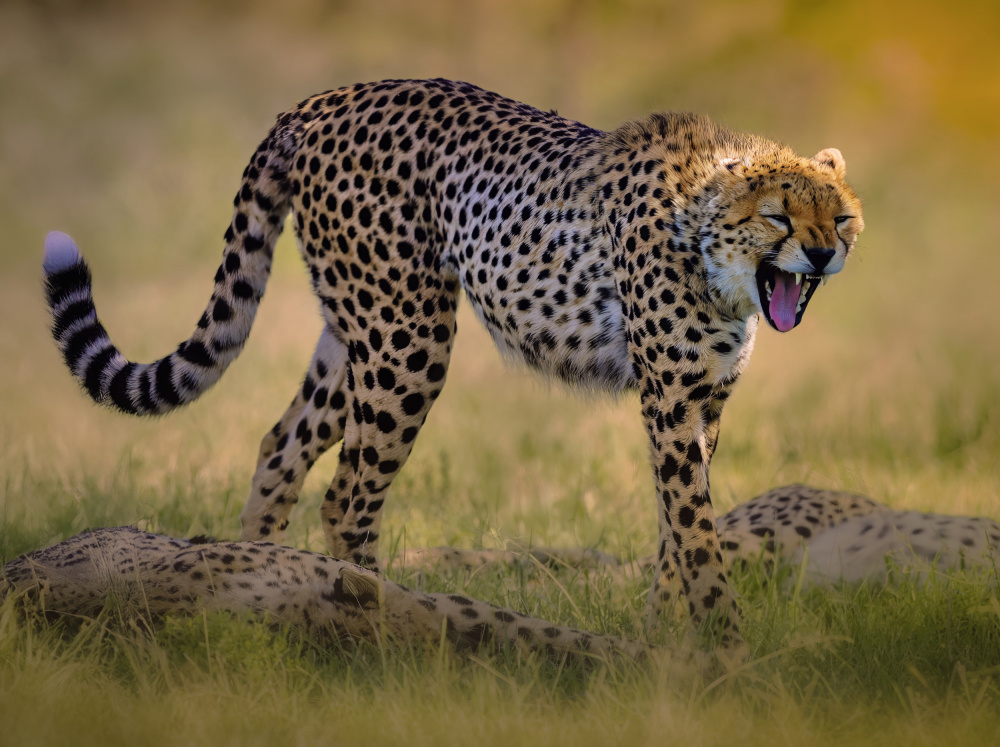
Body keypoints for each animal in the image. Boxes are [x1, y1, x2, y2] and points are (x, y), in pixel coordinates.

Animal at [41, 78, 864, 648]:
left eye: (842, 215)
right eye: (779, 215)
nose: (825, 253)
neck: (711, 250)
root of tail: (320, 100)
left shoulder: (702, 404)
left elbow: (678, 529)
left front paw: (665, 633)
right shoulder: (668, 399)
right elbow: (694, 528)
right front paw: (727, 647)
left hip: (356, 335)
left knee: (280, 448)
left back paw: (257, 586)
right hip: (408, 337)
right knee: (347, 496)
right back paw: (378, 626)